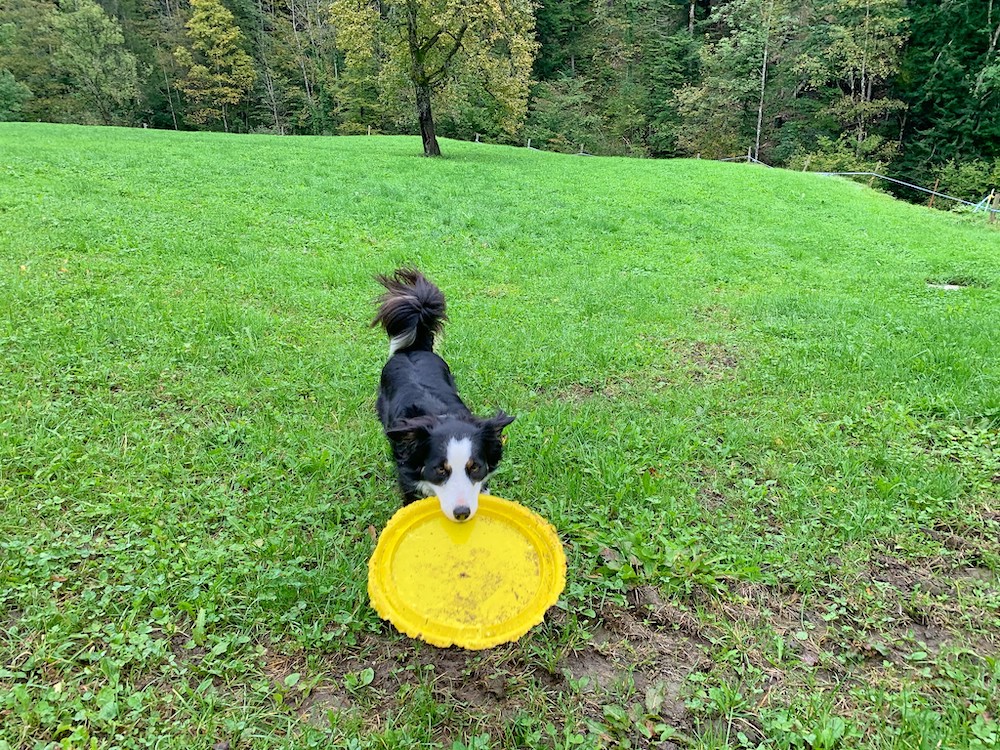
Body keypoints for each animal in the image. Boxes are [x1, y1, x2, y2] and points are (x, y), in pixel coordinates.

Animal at [374, 268, 516, 524]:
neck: (442, 416)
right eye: (440, 469)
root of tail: (413, 349)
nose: (462, 513)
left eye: (475, 467)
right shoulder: (408, 478)